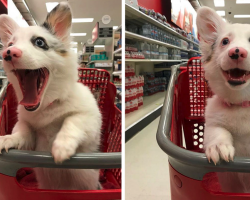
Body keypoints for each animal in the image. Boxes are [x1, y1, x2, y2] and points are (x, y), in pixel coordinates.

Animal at [0, 2, 102, 191]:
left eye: (39, 42)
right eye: (10, 43)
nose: (8, 53)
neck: (47, 105)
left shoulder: (90, 121)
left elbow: (72, 120)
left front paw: (62, 145)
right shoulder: (28, 132)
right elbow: (22, 131)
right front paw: (9, 138)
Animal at [197, 6, 250, 192]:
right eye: (225, 41)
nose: (237, 52)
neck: (241, 103)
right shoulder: (211, 123)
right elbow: (218, 131)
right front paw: (219, 146)